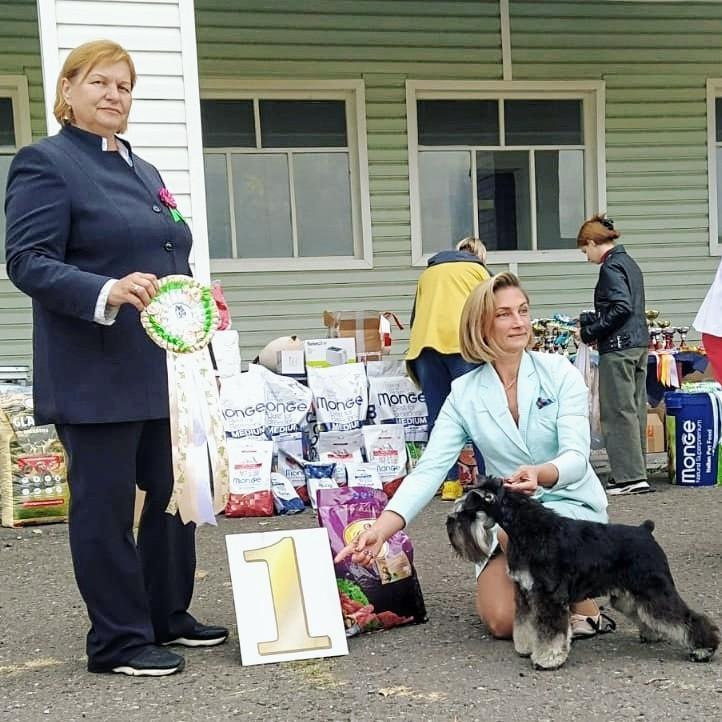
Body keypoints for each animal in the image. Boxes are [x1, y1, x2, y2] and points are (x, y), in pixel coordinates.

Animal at [446, 476, 719, 670]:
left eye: (466, 511)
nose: (450, 523)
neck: (528, 530)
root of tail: (645, 530)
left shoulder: (549, 596)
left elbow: (550, 631)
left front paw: (547, 659)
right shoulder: (525, 593)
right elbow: (526, 624)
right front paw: (526, 647)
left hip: (654, 588)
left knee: (685, 617)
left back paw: (703, 649)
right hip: (628, 595)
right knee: (646, 612)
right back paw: (652, 633)